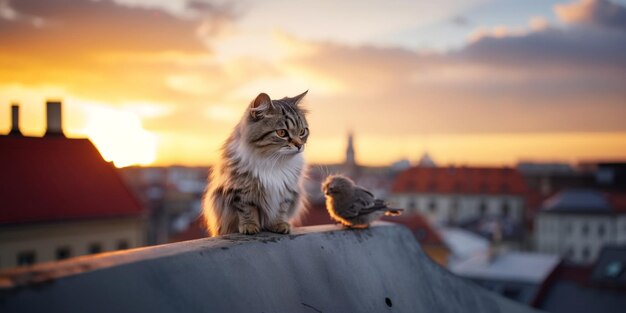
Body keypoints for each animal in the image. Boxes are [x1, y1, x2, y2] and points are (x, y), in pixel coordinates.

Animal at [204, 91, 308, 235]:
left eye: (302, 132)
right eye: (282, 133)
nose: (299, 145)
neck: (272, 161)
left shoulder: (286, 191)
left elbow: (281, 210)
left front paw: (280, 225)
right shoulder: (241, 191)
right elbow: (247, 210)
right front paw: (250, 226)